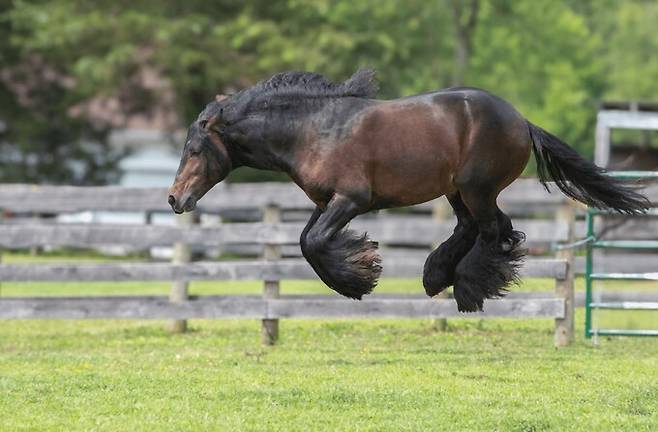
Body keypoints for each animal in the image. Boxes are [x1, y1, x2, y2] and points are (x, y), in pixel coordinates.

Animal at [165, 68, 644, 310]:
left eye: (194, 149)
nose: (174, 198)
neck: (313, 130)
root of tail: (521, 121)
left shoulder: (351, 199)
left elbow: (314, 243)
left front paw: (359, 278)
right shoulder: (325, 202)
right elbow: (305, 241)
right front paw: (359, 268)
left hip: (476, 187)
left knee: (493, 231)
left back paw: (467, 288)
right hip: (459, 191)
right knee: (485, 229)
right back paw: (437, 276)